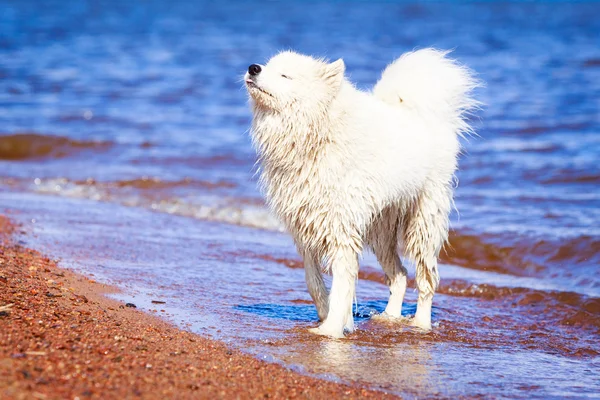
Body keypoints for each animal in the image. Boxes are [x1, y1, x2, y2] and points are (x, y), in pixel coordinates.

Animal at [243, 49, 478, 338]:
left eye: (285, 75)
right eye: (268, 65)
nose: (253, 67)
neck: (318, 133)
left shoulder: (341, 229)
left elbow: (342, 286)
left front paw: (331, 329)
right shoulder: (305, 226)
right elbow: (313, 282)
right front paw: (328, 317)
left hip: (423, 222)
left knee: (426, 279)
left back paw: (420, 324)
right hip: (381, 231)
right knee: (399, 275)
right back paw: (389, 317)